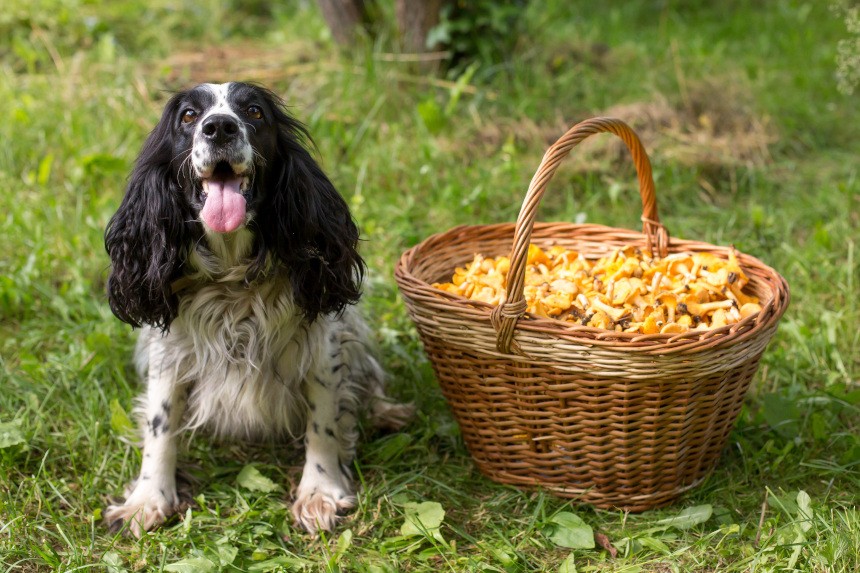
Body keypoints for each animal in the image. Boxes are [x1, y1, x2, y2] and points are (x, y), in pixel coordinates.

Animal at [104, 80, 414, 536]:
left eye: (253, 111)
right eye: (188, 116)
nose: (219, 127)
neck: (233, 279)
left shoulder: (322, 343)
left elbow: (324, 420)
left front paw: (319, 492)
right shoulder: (168, 351)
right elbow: (160, 424)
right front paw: (148, 498)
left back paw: (388, 412)